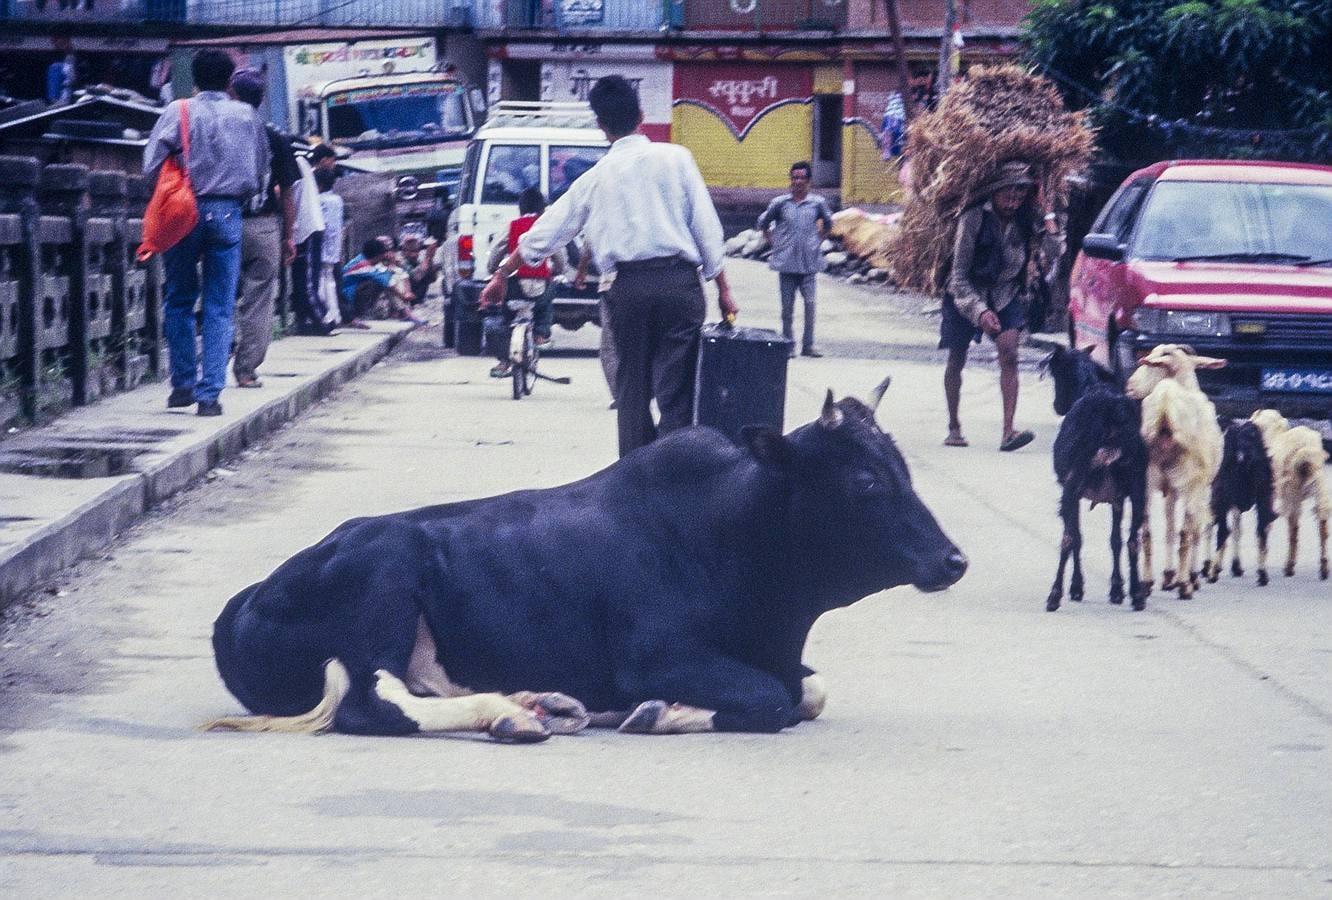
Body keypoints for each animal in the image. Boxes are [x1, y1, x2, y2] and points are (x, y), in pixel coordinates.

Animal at [202, 383, 964, 740]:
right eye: (865, 481)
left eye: (903, 467)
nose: (952, 560)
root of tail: (243, 602)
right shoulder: (655, 655)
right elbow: (770, 700)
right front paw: (658, 712)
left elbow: (810, 690)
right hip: (384, 573)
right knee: (374, 701)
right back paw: (517, 716)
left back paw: (537, 703)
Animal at [1124, 343, 1225, 596]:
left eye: (1153, 365)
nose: (1129, 386)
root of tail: (1165, 403)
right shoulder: (1199, 485)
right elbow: (1196, 527)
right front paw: (1191, 576)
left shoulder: (1169, 488)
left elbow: (1169, 527)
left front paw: (1168, 576)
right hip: (1191, 482)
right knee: (1187, 531)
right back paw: (1185, 585)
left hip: (1147, 479)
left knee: (1147, 530)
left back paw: (1148, 582)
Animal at [1204, 423, 1273, 585]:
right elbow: (1237, 529)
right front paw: (1236, 567)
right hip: (1263, 496)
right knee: (1261, 529)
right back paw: (1262, 575)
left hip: (1221, 497)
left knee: (1222, 531)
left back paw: (1211, 573)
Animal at [1252, 410, 1326, 580]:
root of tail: (1305, 446)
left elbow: (1266, 525)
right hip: (1317, 482)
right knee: (1322, 522)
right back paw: (1324, 568)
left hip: (1293, 489)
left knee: (1294, 528)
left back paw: (1289, 566)